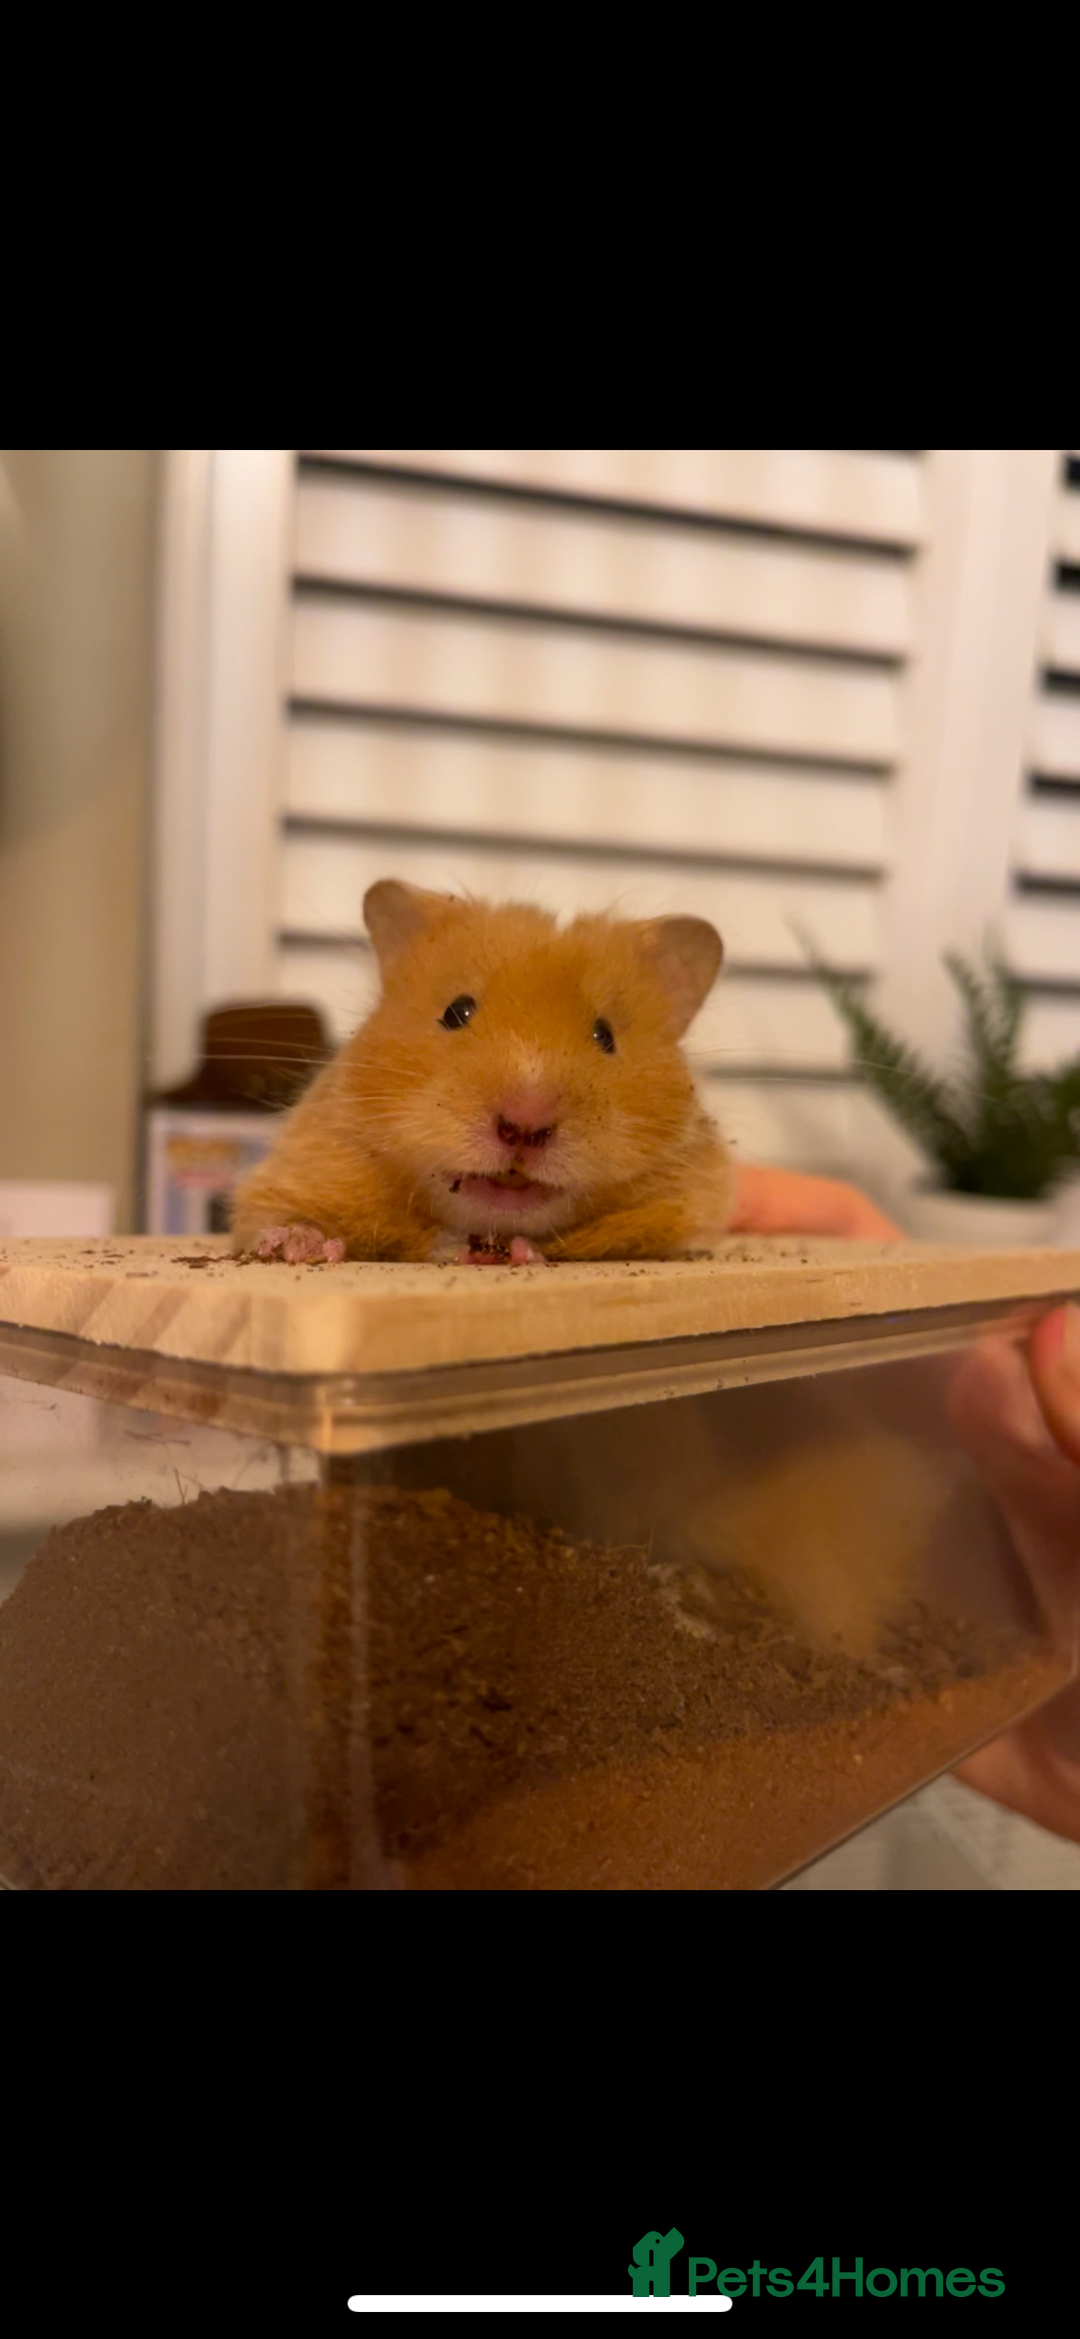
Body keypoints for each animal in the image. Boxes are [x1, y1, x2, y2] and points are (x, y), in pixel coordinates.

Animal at [231, 879, 733, 1266]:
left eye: (605, 1036)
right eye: (456, 1012)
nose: (525, 1125)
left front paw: (521, 1252)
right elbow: (276, 1217)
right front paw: (297, 1246)